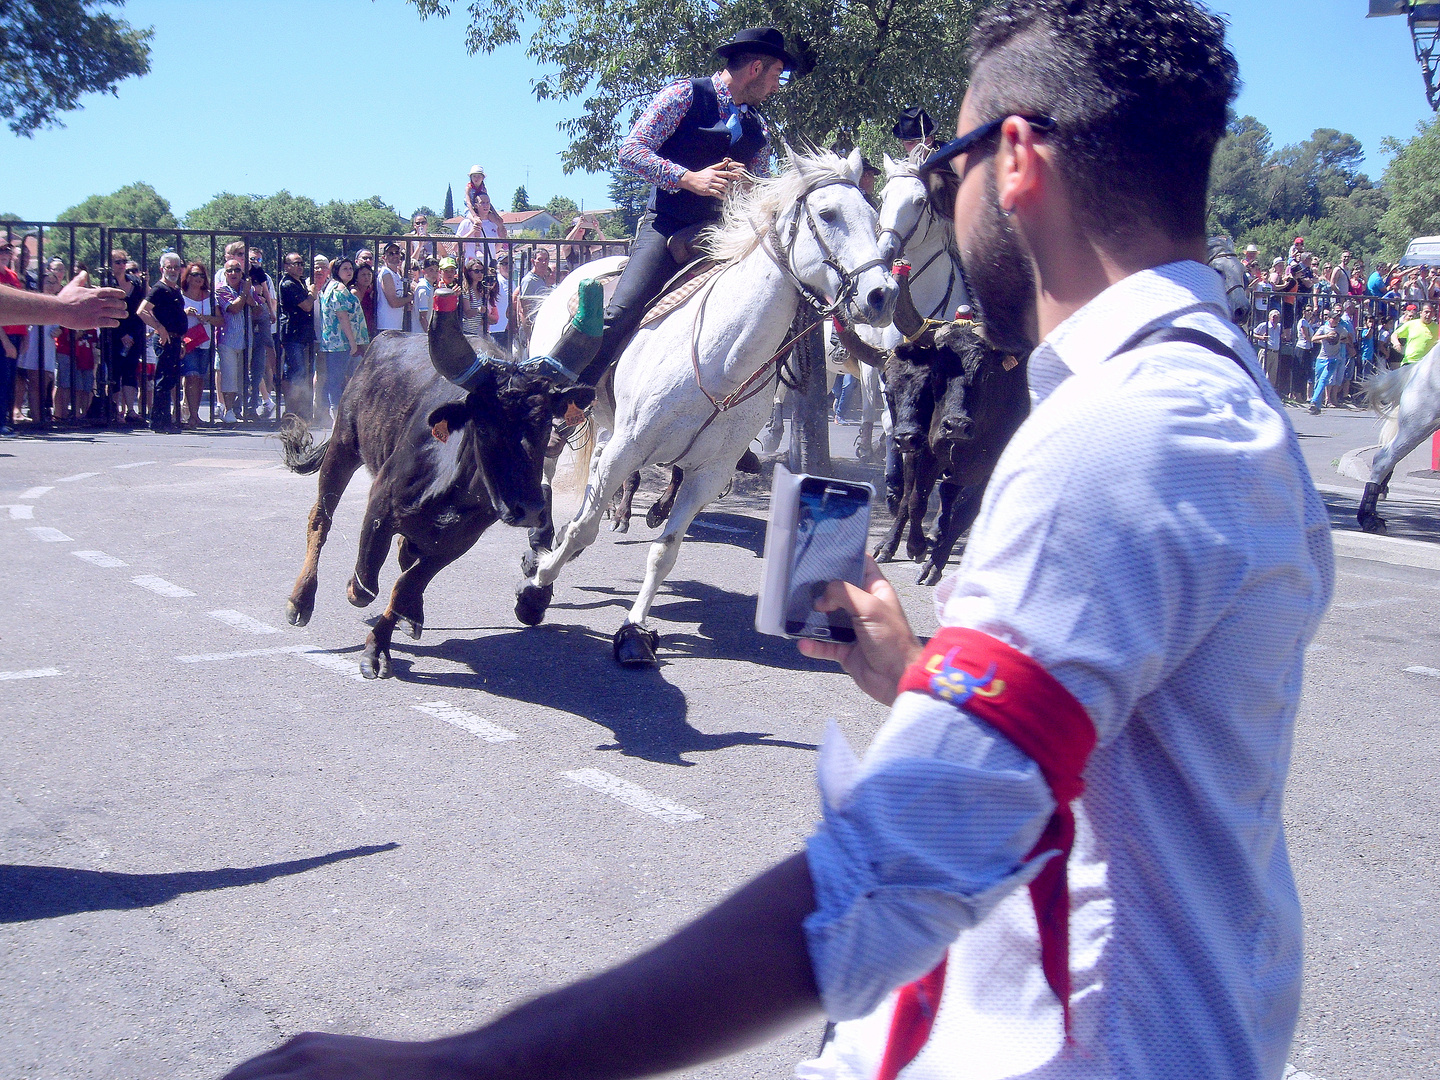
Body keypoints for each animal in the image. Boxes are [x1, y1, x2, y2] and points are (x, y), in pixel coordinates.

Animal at [277, 316, 593, 679]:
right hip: (343, 445)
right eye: (484, 427)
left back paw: (412, 615)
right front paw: (362, 604)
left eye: (544, 425)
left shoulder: (459, 542)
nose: (529, 508)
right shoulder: (379, 509)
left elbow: (407, 585)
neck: (452, 492)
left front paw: (378, 647)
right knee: (320, 518)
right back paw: (300, 600)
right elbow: (366, 582)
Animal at [518, 146, 898, 665]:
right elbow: (585, 529)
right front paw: (537, 590)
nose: (881, 295)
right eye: (827, 214)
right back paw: (539, 539)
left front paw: (635, 632)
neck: (726, 355)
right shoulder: (629, 450)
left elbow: (665, 550)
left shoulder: (708, 474)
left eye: (875, 218)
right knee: (551, 461)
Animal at [869, 321, 1031, 587]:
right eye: (936, 374)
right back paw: (889, 545)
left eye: (985, 374)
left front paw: (934, 565)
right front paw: (916, 546)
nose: (956, 426)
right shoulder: (928, 452)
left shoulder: (991, 469)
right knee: (910, 497)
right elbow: (916, 501)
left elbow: (966, 513)